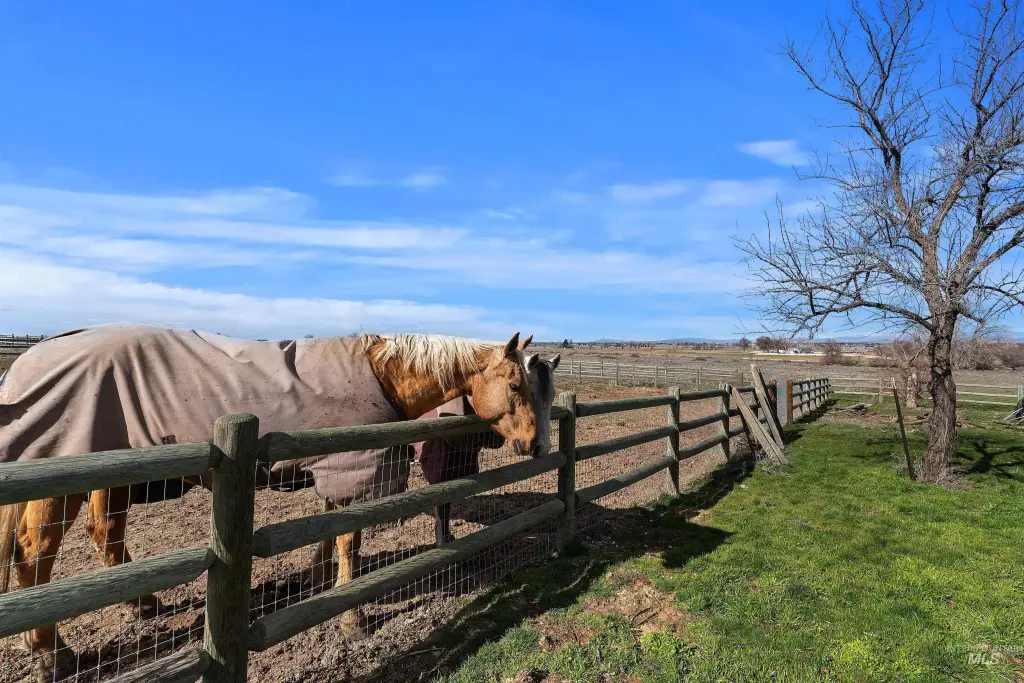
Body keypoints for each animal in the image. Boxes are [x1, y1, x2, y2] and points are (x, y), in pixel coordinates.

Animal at [0, 323, 542, 681]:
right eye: (516, 384)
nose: (536, 445)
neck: (379, 374)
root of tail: (31, 357)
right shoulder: (352, 466)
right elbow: (349, 540)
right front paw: (353, 619)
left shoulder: (336, 472)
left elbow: (331, 533)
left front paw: (320, 582)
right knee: (35, 555)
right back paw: (51, 652)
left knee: (100, 535)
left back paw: (139, 606)